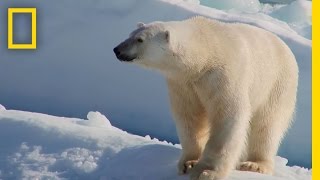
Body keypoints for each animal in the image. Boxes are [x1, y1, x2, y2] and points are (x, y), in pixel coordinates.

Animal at [112, 16, 298, 179]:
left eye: (140, 39)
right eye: (130, 34)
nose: (117, 49)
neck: (205, 53)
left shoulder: (223, 76)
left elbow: (228, 116)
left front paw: (206, 171)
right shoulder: (183, 82)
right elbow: (190, 117)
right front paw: (189, 163)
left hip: (277, 85)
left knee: (267, 125)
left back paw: (255, 164)